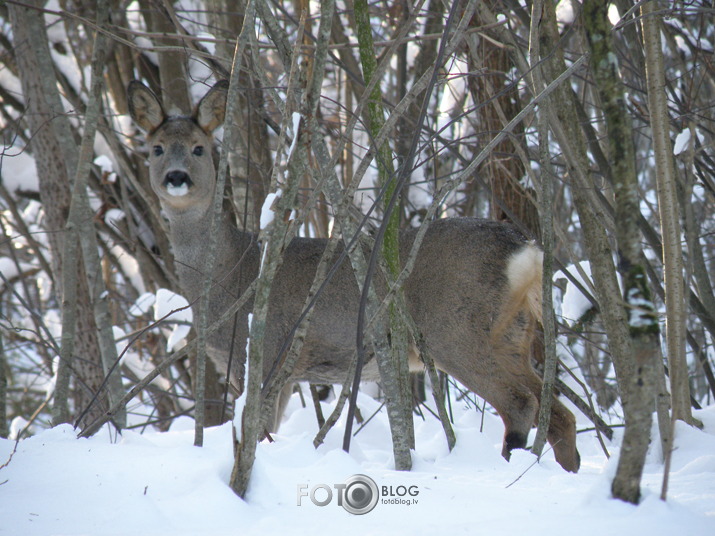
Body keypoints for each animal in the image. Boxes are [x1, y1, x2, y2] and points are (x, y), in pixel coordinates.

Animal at [129, 80, 580, 474]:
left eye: (199, 148)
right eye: (156, 148)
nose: (176, 177)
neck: (233, 271)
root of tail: (524, 248)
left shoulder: (265, 354)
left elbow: (258, 434)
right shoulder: (286, 371)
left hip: (458, 331)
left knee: (521, 404)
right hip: (511, 334)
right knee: (561, 412)